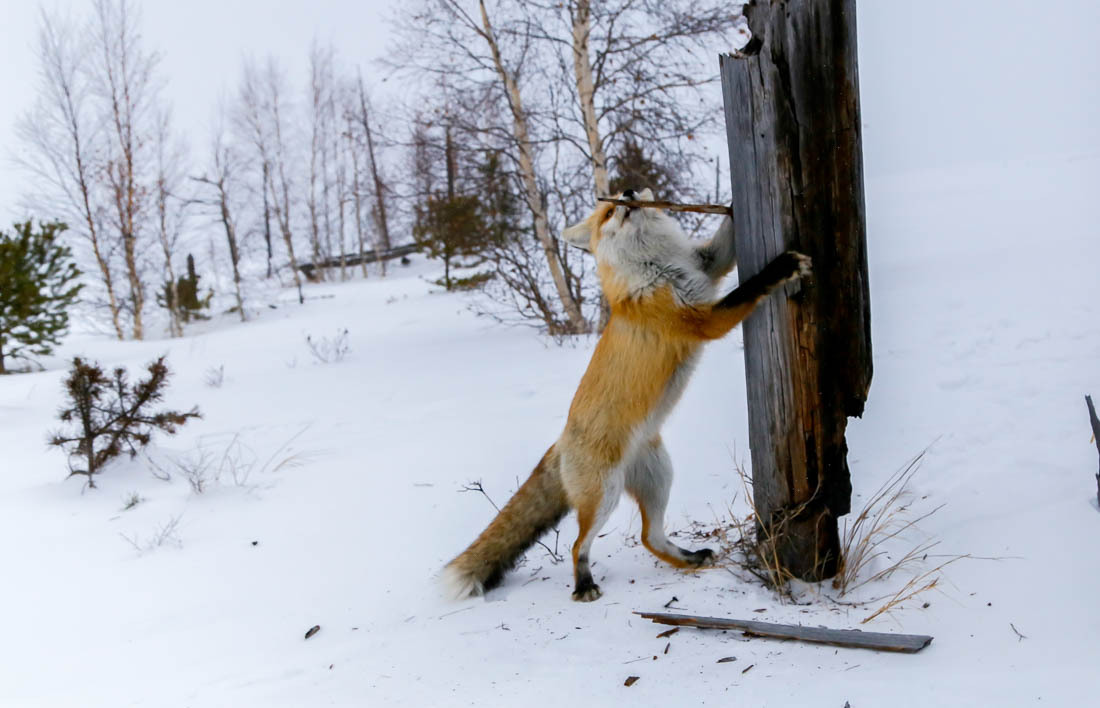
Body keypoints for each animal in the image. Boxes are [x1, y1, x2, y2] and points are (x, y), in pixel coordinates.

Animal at [442, 189, 814, 602]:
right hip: (604, 497)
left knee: (649, 538)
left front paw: (730, 202)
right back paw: (584, 585)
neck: (660, 266)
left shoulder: (707, 266)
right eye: (609, 211)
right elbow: (748, 289)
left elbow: (722, 245)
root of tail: (561, 441)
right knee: (579, 545)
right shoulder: (702, 319)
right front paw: (783, 267)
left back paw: (689, 559)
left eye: (622, 193)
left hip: (659, 478)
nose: (630, 192)